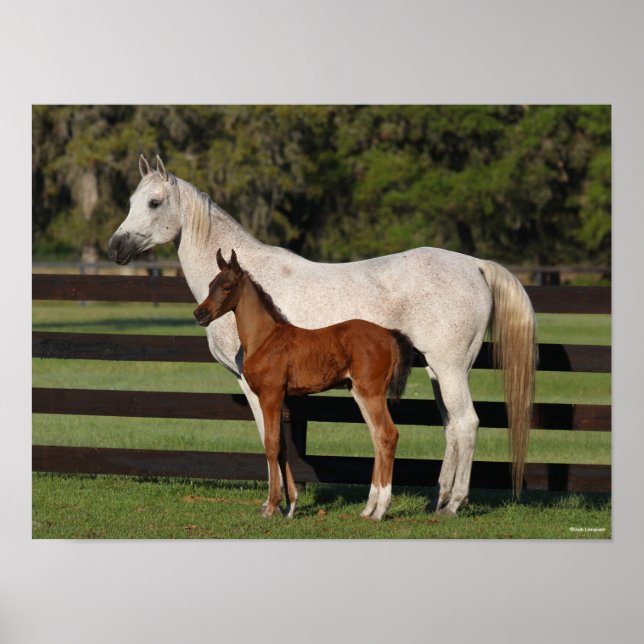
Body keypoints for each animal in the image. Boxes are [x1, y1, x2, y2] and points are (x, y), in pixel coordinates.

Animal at [193, 248, 415, 519]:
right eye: (210, 285)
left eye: (227, 287)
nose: (199, 314)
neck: (265, 338)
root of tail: (388, 333)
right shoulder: (279, 398)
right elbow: (283, 447)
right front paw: (290, 506)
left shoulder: (270, 395)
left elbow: (272, 445)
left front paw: (271, 506)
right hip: (361, 393)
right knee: (377, 438)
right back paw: (368, 508)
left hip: (371, 392)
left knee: (388, 435)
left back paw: (380, 510)